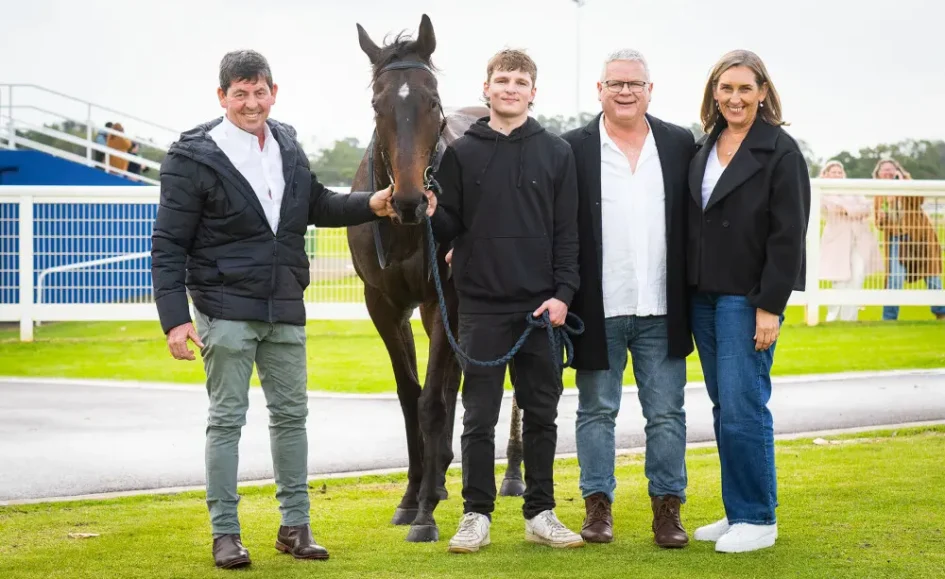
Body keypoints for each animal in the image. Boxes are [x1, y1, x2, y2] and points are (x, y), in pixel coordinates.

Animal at [346, 14, 524, 543]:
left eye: (432, 99)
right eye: (378, 103)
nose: (408, 200)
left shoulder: (448, 297)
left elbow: (431, 401)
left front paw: (424, 512)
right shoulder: (384, 305)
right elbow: (411, 397)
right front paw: (412, 497)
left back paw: (510, 475)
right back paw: (443, 474)